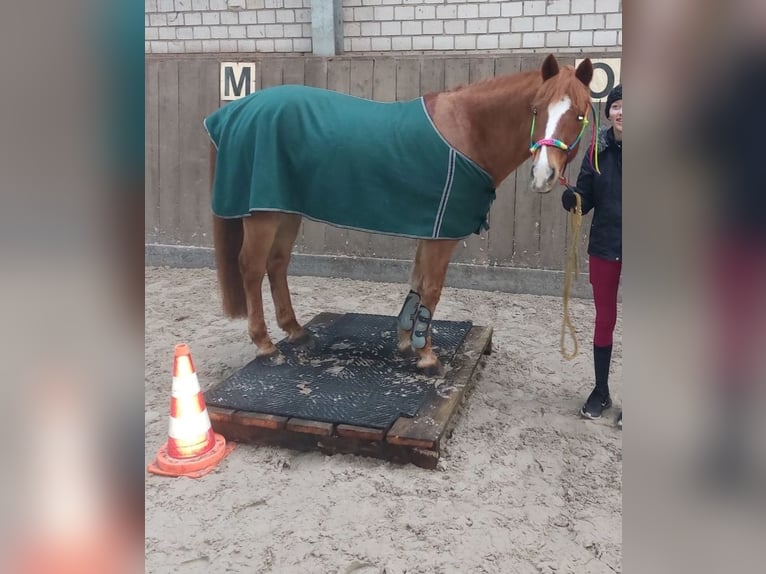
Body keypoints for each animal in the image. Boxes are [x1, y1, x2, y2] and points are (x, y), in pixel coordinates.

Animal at [204, 55, 592, 378]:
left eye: (579, 115)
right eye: (536, 109)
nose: (543, 175)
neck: (467, 131)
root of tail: (231, 114)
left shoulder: (430, 227)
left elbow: (418, 282)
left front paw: (407, 339)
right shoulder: (443, 232)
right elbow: (432, 288)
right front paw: (426, 354)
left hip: (286, 211)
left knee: (278, 264)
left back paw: (297, 332)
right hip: (263, 215)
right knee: (252, 267)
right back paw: (266, 346)